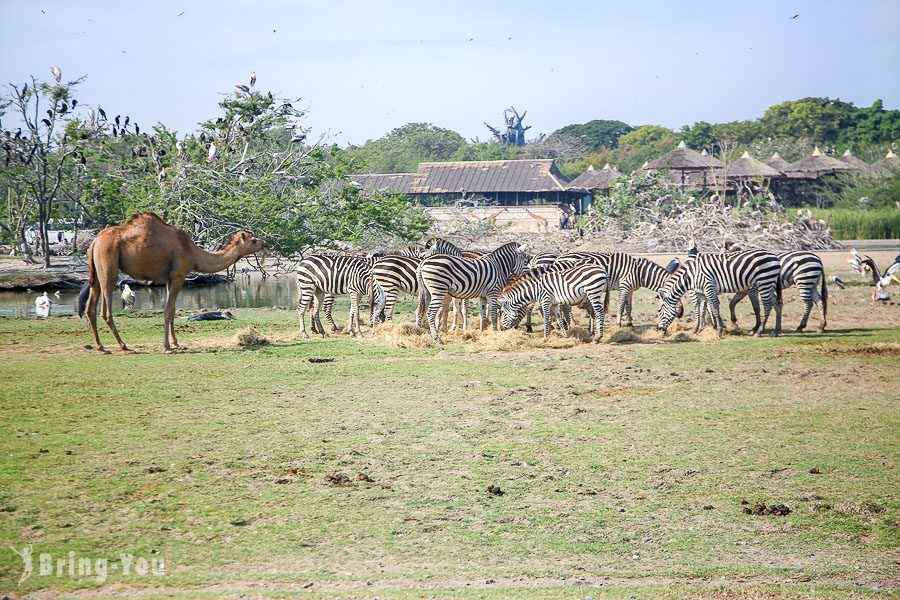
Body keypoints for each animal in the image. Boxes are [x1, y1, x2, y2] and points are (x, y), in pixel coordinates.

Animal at [82, 212, 266, 354]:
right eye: (253, 240)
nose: (264, 242)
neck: (194, 253)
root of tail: (95, 241)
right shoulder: (179, 275)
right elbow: (168, 310)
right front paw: (167, 347)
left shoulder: (169, 279)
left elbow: (172, 310)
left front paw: (176, 343)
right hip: (108, 263)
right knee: (106, 309)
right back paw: (124, 346)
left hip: (95, 272)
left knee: (90, 307)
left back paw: (101, 347)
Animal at [652, 246, 780, 336]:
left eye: (659, 310)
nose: (658, 328)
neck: (691, 275)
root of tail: (774, 256)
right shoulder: (701, 292)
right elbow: (702, 310)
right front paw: (699, 330)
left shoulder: (709, 288)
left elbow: (714, 307)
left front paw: (719, 331)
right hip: (768, 283)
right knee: (777, 303)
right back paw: (776, 331)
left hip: (764, 281)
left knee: (767, 305)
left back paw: (759, 331)